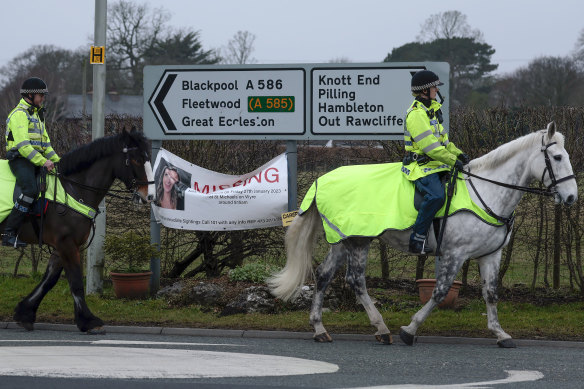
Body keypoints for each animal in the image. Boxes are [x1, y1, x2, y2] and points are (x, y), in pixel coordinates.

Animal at [0, 127, 154, 334]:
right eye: (136, 159)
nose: (149, 196)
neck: (73, 189)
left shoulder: (62, 247)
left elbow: (49, 281)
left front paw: (24, 312)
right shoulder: (66, 244)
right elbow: (75, 282)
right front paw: (88, 321)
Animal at [266, 123, 576, 348]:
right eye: (558, 157)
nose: (572, 197)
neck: (486, 191)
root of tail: (323, 179)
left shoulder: (490, 255)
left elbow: (491, 293)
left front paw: (500, 333)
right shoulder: (455, 253)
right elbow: (439, 292)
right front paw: (410, 329)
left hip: (343, 240)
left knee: (323, 275)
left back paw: (319, 328)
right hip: (359, 241)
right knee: (355, 281)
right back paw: (382, 328)